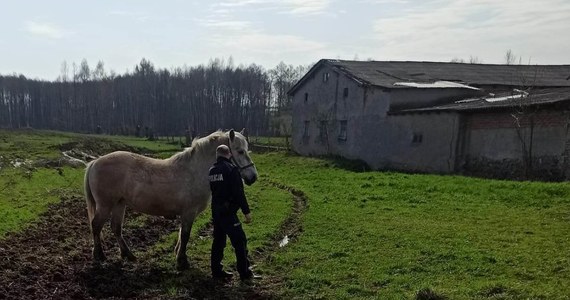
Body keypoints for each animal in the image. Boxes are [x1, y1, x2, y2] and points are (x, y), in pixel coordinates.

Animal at [84, 129, 258, 270]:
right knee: (96, 225)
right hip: (105, 205)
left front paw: (178, 256)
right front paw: (182, 262)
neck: (194, 172)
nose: (253, 177)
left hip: (119, 204)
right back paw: (99, 255)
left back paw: (128, 255)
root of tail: (95, 162)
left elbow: (181, 235)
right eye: (240, 151)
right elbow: (185, 235)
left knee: (116, 228)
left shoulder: (187, 214)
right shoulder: (188, 213)